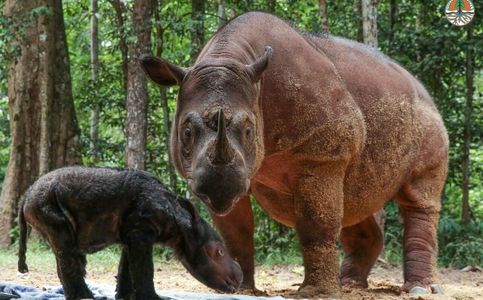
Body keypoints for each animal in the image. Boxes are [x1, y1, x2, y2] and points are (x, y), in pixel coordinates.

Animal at [17, 166, 244, 300]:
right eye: (218, 252)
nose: (240, 278)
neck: (181, 224)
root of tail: (25, 195)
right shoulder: (141, 230)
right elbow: (144, 268)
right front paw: (155, 299)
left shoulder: (132, 233)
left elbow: (126, 267)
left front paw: (125, 297)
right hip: (45, 202)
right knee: (65, 246)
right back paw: (85, 297)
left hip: (44, 202)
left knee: (65, 250)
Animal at [140, 11, 450, 296]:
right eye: (186, 132)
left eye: (250, 131)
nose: (219, 187)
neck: (231, 58)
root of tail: (421, 87)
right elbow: (235, 231)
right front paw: (241, 290)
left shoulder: (322, 156)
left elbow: (317, 223)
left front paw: (316, 293)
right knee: (354, 199)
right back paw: (349, 285)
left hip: (428, 120)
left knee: (418, 198)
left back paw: (418, 289)